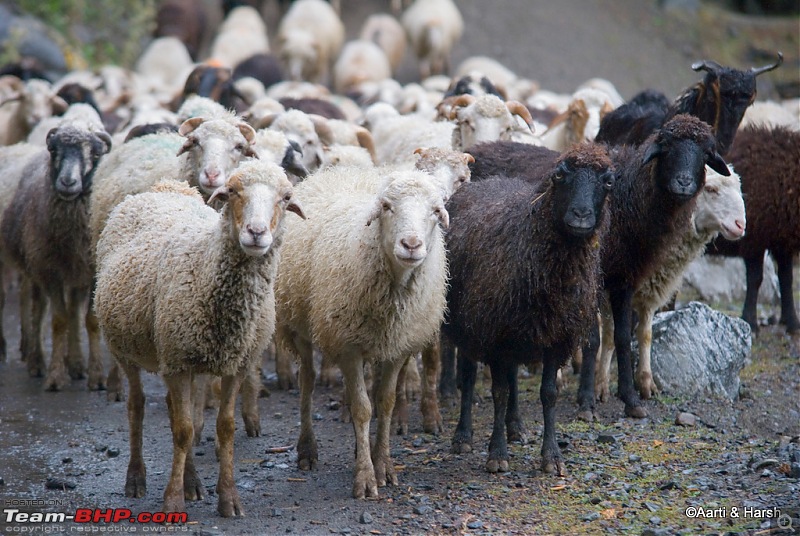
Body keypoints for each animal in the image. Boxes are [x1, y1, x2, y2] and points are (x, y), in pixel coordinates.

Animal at [276, 165, 450, 496]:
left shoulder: (397, 347)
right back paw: (307, 450)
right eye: (387, 207)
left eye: (435, 211)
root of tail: (340, 170)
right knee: (308, 381)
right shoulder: (348, 347)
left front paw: (383, 466)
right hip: (300, 326)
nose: (411, 245)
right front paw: (366, 478)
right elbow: (362, 409)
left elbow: (385, 402)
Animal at [440, 141, 616, 474]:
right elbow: (498, 392)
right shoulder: (495, 335)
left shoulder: (557, 338)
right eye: (560, 175)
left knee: (510, 377)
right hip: (467, 324)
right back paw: (463, 436)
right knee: (468, 377)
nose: (581, 215)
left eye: (608, 182)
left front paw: (552, 457)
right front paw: (497, 454)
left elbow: (548, 394)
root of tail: (483, 183)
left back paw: (516, 426)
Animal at [596, 165, 748, 400]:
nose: (740, 225)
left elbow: (645, 334)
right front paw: (601, 385)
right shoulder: (607, 290)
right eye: (710, 189)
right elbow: (610, 336)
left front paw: (646, 383)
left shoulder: (651, 290)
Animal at [708, 123, 800, 338]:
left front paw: (791, 323)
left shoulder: (781, 241)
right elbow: (755, 280)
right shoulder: (755, 240)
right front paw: (751, 322)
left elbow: (786, 280)